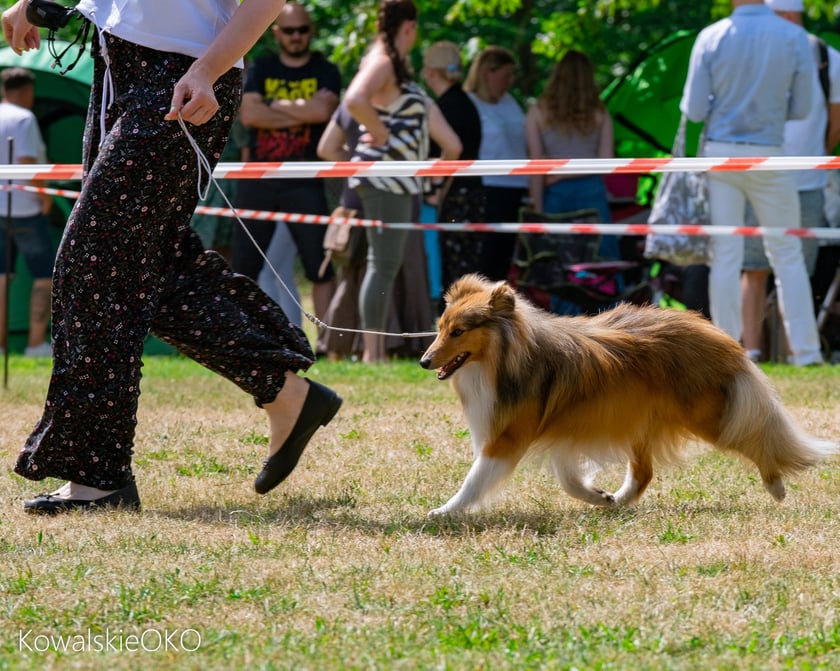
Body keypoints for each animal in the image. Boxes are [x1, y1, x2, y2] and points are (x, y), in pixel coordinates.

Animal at [420, 276, 832, 516]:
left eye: (458, 332)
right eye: (440, 327)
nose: (424, 361)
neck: (504, 356)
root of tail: (720, 338)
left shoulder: (507, 439)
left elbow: (474, 480)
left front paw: (444, 512)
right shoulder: (565, 431)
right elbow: (569, 479)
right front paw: (598, 496)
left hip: (712, 418)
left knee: (757, 438)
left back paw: (776, 487)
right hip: (641, 420)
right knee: (644, 473)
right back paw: (618, 500)